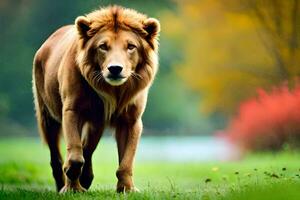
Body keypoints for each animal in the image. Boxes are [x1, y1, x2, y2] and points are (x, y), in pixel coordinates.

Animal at [31, 5, 161, 193]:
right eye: (103, 47)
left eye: (131, 46)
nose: (115, 68)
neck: (113, 90)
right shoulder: (72, 110)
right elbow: (75, 154)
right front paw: (72, 187)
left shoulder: (131, 120)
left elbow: (126, 162)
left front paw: (127, 188)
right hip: (47, 115)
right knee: (56, 156)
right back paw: (63, 185)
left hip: (96, 123)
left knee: (88, 148)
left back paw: (86, 178)